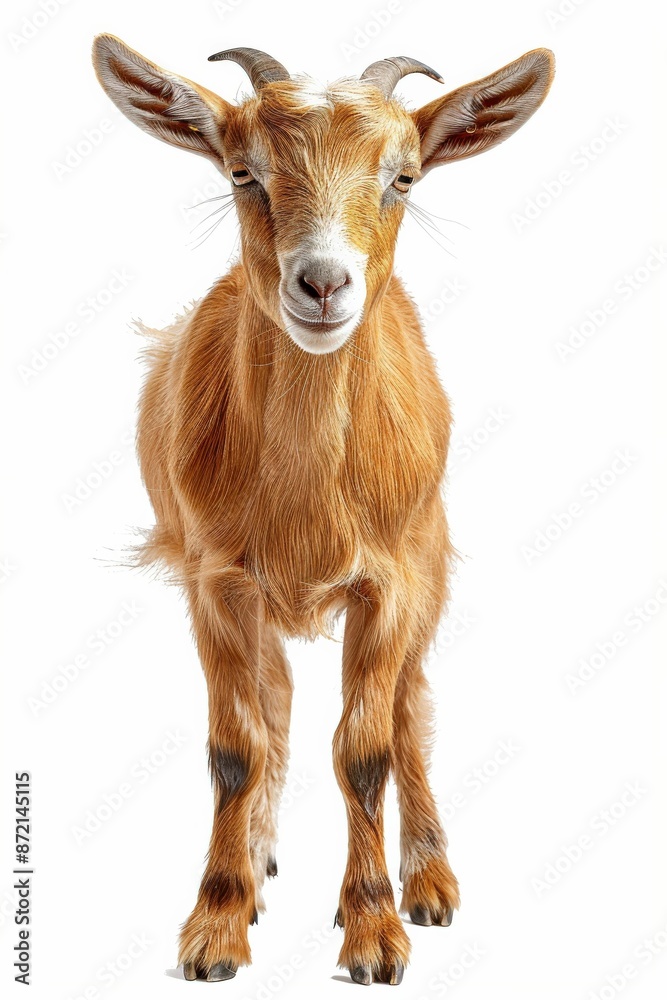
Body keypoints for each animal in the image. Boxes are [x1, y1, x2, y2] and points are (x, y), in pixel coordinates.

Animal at [93, 35, 554, 986]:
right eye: (243, 172)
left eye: (402, 179)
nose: (321, 284)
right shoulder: (216, 583)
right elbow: (237, 747)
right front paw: (217, 926)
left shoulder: (390, 582)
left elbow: (366, 748)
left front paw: (375, 931)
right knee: (275, 703)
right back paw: (257, 861)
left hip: (429, 565)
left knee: (409, 707)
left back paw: (428, 880)